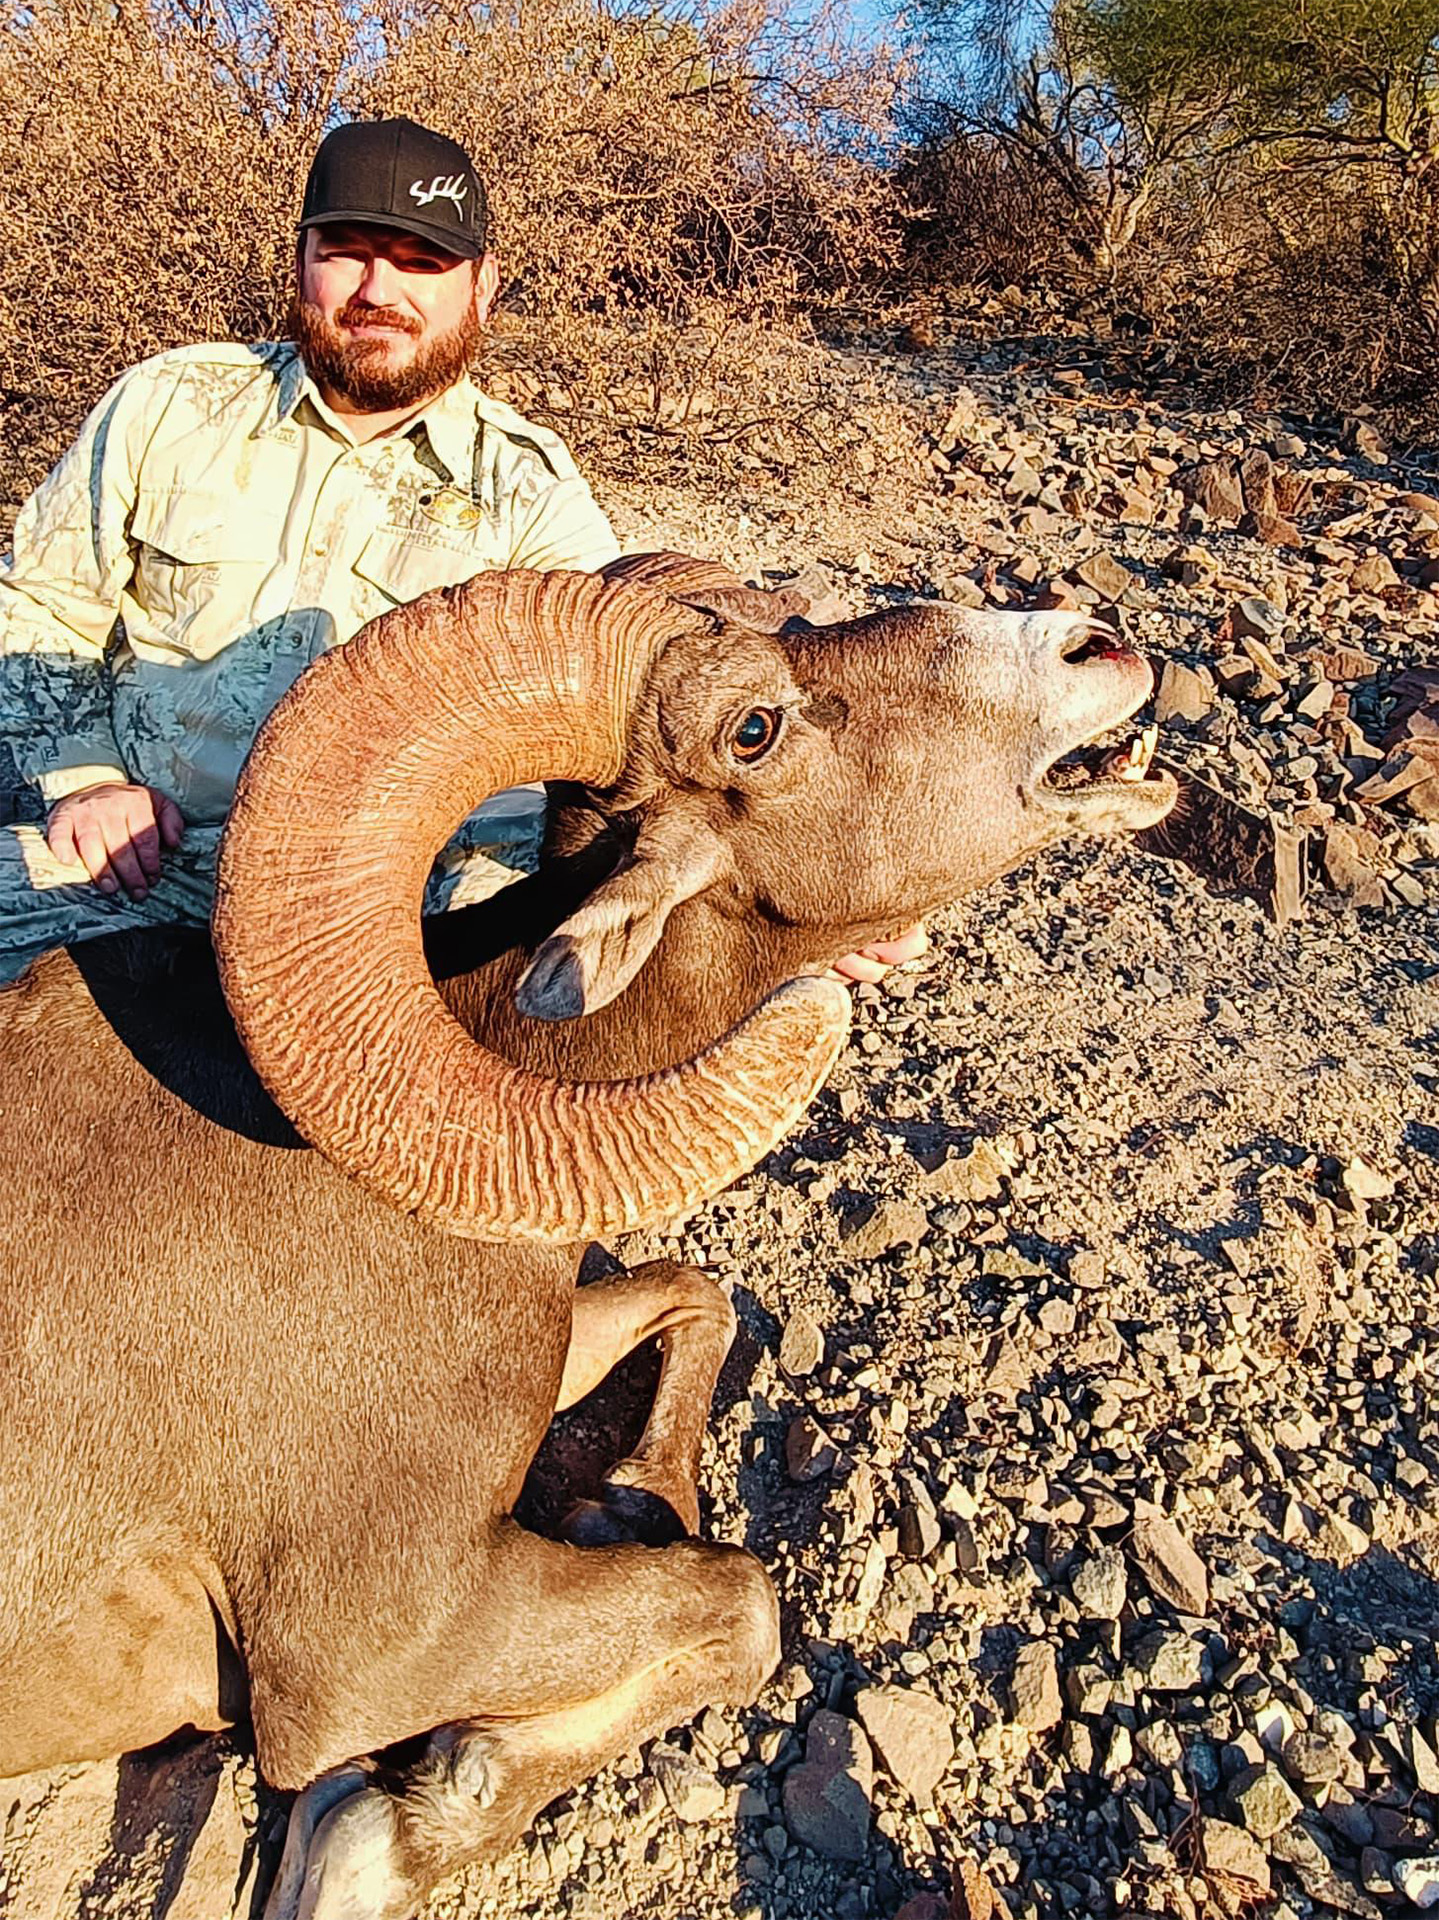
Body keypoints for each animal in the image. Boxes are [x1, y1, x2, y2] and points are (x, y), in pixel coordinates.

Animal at [0, 555, 1174, 1919]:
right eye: (753, 727)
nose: (1099, 649)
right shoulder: (366, 1654)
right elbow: (741, 1603)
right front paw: (381, 1840)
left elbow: (695, 1297)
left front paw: (631, 1500)